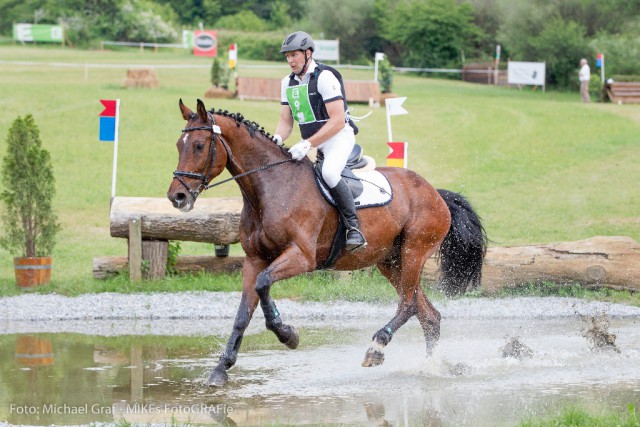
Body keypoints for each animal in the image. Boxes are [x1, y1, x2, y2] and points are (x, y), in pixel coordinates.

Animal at [168, 99, 488, 388]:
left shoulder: (301, 257)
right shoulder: (254, 260)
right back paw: (432, 367)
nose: (177, 197)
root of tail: (435, 193)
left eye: (199, 146)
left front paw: (287, 334)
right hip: (389, 261)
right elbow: (243, 313)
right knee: (428, 314)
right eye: (178, 146)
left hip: (414, 251)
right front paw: (221, 368)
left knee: (409, 304)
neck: (269, 188)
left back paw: (377, 347)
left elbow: (263, 284)